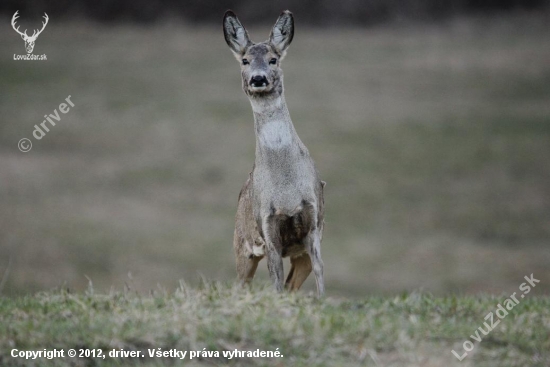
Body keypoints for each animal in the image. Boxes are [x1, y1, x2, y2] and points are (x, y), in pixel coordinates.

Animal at [224, 10, 328, 298]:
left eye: (273, 59)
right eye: (245, 60)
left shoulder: (313, 224)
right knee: (241, 283)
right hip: (241, 244)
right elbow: (276, 282)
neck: (286, 191)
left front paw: (323, 300)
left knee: (293, 283)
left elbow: (319, 271)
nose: (258, 78)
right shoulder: (268, 230)